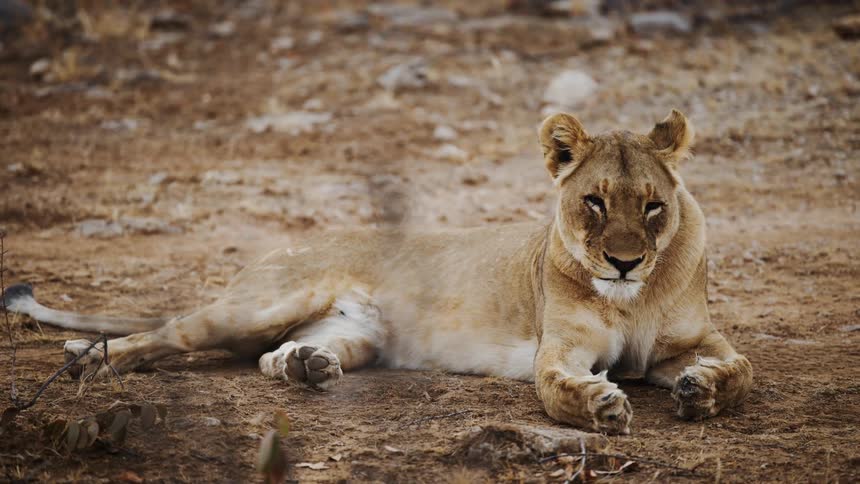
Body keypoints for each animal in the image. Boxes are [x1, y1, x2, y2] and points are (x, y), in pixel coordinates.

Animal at [4, 110, 752, 434]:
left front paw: (701, 392)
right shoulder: (559, 349)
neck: (631, 298)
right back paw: (84, 361)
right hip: (260, 302)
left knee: (272, 355)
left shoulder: (697, 341)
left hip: (354, 334)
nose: (624, 261)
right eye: (593, 202)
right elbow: (559, 389)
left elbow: (741, 369)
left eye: (653, 207)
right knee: (162, 334)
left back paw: (305, 367)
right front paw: (599, 404)